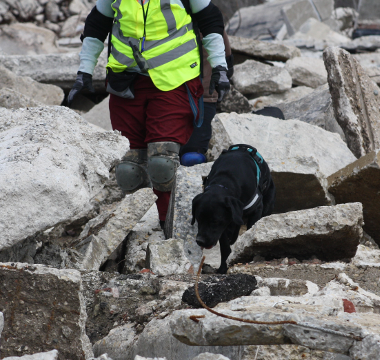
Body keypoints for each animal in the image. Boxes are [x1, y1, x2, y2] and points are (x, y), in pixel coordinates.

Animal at [191, 143, 274, 272]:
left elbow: (250, 231)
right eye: (199, 219)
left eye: (215, 221)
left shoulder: (256, 210)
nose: (200, 241)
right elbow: (225, 247)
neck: (224, 183)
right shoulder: (225, 223)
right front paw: (222, 268)